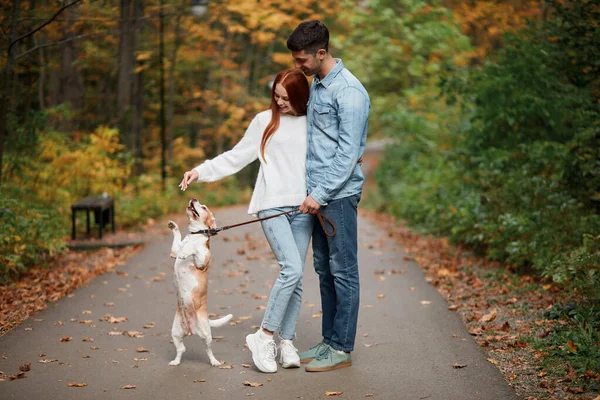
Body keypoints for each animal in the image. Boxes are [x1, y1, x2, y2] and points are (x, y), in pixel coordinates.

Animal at [166, 198, 232, 368]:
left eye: (204, 207)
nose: (193, 199)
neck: (194, 236)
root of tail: (190, 329)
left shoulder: (202, 261)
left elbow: (195, 250)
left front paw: (187, 252)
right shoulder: (174, 252)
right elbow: (177, 240)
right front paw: (174, 226)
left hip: (206, 335)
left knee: (208, 350)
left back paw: (215, 361)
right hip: (175, 332)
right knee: (181, 349)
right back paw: (176, 361)